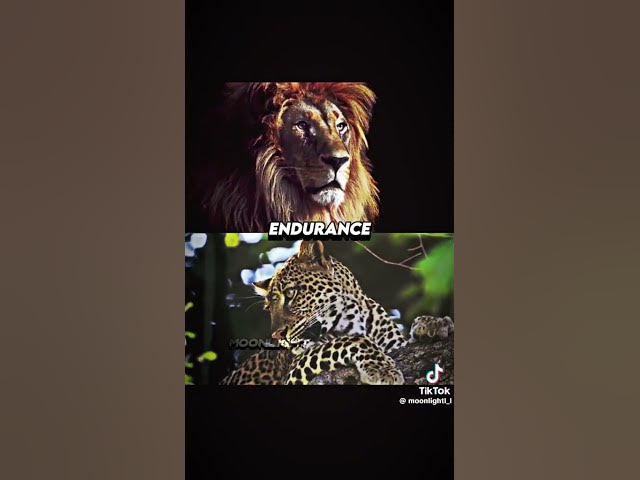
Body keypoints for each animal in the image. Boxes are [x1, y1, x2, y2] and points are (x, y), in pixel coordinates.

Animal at [220, 240, 453, 385]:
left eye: (291, 293)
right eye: (269, 308)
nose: (277, 335)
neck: (353, 317)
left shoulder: (395, 344)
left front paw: (433, 323)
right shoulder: (293, 371)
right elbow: (348, 341)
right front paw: (382, 370)